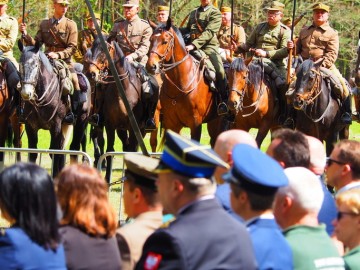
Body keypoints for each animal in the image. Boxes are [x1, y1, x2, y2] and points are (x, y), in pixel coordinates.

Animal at [18, 41, 73, 177]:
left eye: (36, 65)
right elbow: (33, 153)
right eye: (20, 65)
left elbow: (55, 153)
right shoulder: (30, 127)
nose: (26, 93)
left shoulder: (56, 127)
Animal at [84, 37, 146, 181]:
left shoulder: (133, 127)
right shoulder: (109, 125)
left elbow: (131, 149)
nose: (91, 74)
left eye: (104, 50)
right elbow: (109, 150)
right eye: (92, 49)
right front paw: (107, 178)